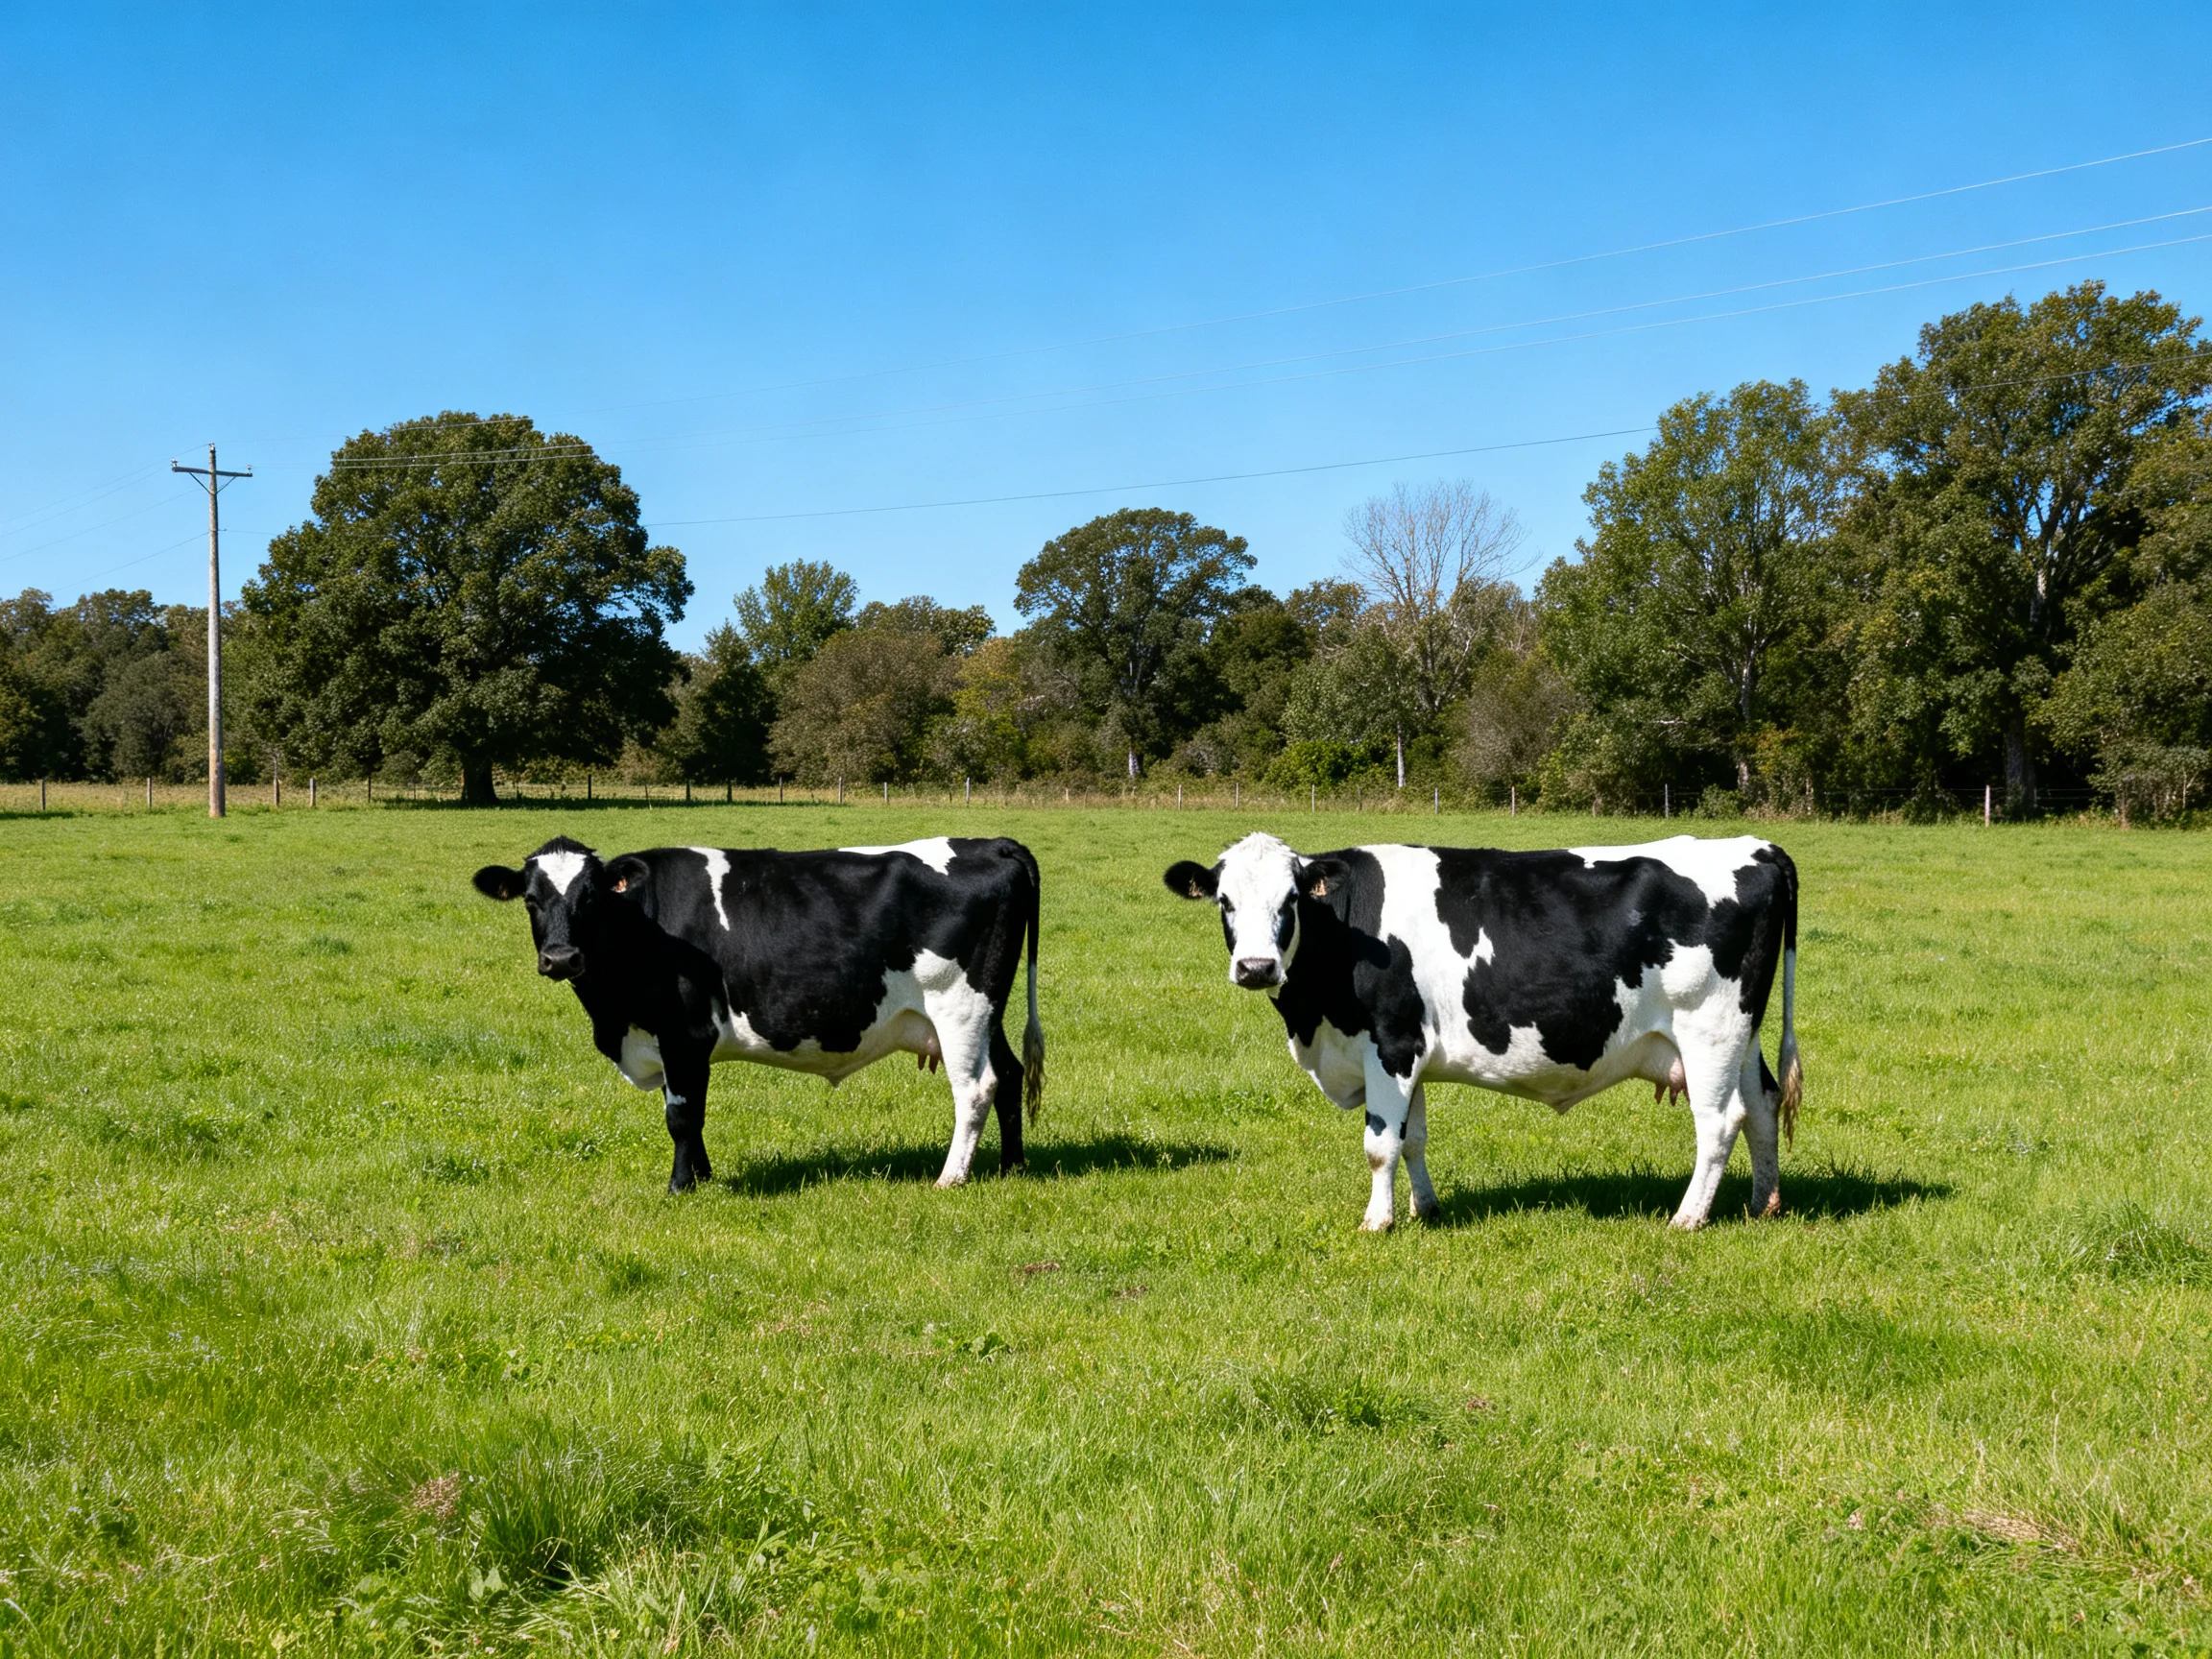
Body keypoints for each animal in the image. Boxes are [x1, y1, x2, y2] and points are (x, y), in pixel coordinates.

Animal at [473, 835, 1043, 1194]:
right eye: (530, 900)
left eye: (590, 898)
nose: (561, 958)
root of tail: (992, 843)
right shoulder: (670, 1042)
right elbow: (689, 1112)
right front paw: (702, 1178)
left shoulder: (684, 1033)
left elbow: (682, 1115)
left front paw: (680, 1187)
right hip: (987, 1012)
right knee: (1011, 1074)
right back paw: (1012, 1167)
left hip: (960, 1006)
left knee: (977, 1087)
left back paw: (951, 1178)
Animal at [1164, 832, 1800, 1231]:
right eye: (1224, 902)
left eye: (1291, 899)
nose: (1256, 968)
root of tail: (1758, 847)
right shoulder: (1409, 1055)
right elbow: (1412, 1138)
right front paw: (1425, 1210)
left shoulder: (1391, 1043)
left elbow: (1379, 1145)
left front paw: (1377, 1222)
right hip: (1742, 1034)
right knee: (1763, 1104)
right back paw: (1762, 1204)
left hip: (1708, 1028)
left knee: (1720, 1122)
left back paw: (1687, 1218)